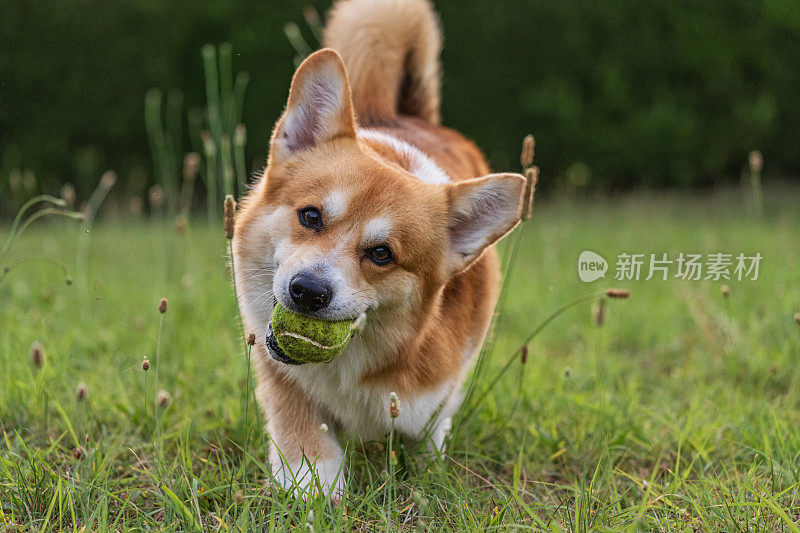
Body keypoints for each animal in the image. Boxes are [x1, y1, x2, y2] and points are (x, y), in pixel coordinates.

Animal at [233, 0, 524, 496]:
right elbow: (305, 439)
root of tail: (406, 115)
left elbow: (428, 438)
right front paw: (312, 491)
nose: (307, 292)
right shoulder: (282, 378)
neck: (355, 360)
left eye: (382, 254)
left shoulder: (435, 397)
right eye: (311, 216)